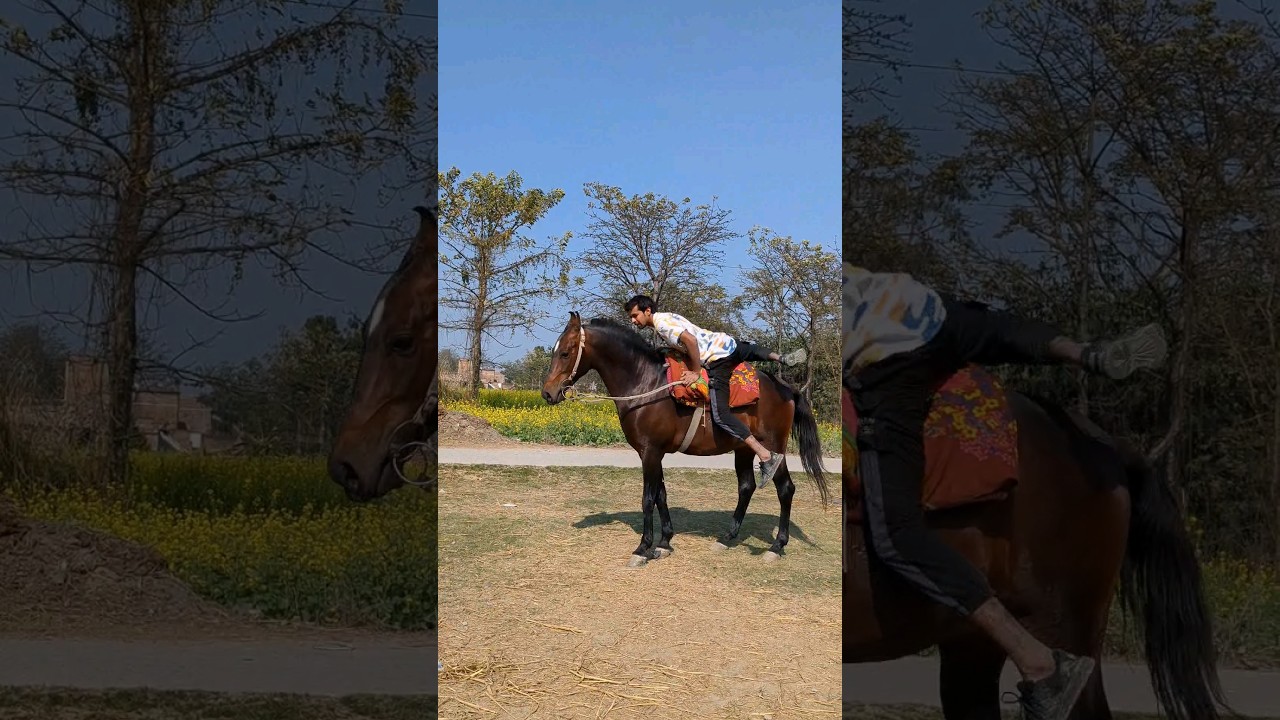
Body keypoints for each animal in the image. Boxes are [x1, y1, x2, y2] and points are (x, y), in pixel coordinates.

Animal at [540, 312, 830, 567]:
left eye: (565, 352)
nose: (547, 393)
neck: (646, 385)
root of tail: (785, 388)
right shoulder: (652, 453)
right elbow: (661, 495)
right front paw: (664, 543)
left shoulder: (650, 452)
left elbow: (648, 498)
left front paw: (643, 548)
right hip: (743, 449)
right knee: (746, 487)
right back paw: (727, 538)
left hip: (772, 445)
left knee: (785, 489)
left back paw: (776, 546)